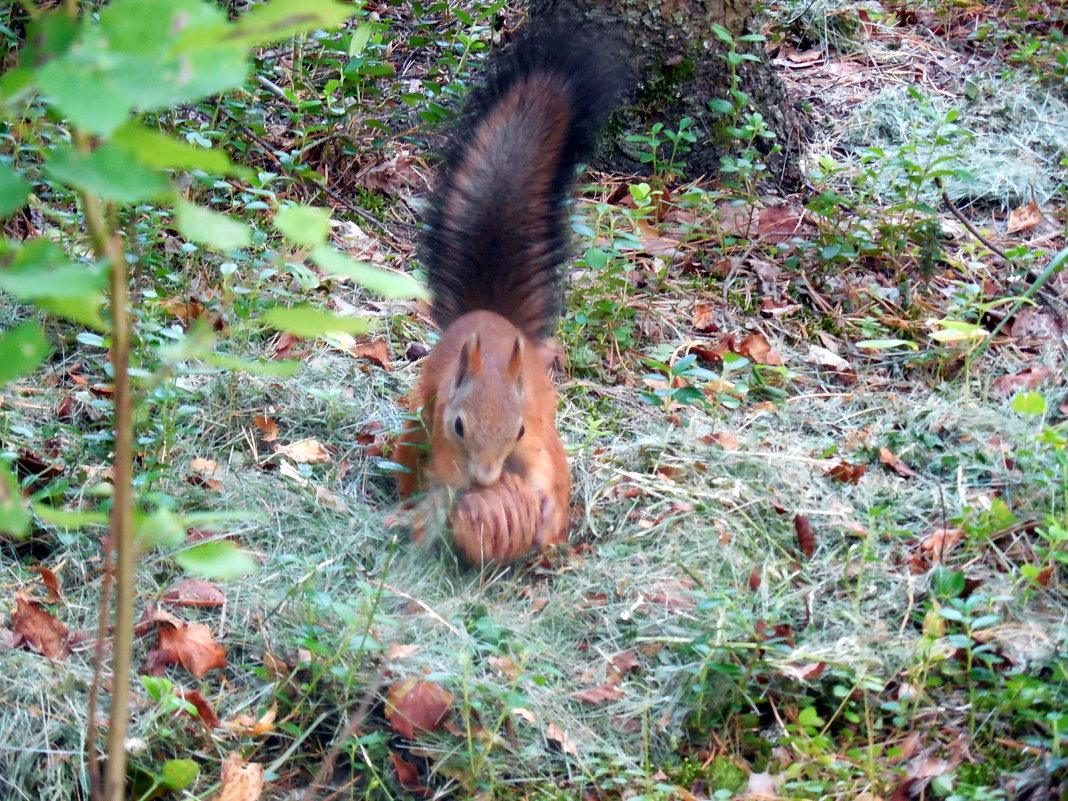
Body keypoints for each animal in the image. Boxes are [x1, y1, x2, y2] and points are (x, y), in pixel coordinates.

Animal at [395, 25, 623, 563]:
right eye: (458, 426)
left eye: (517, 429)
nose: (484, 479)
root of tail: (490, 314)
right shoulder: (443, 438)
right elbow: (444, 483)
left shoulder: (536, 439)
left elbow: (546, 476)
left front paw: (537, 516)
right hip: (418, 416)